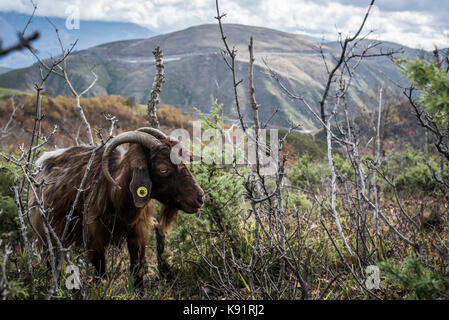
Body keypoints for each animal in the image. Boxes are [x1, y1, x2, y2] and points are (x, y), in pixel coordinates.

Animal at [31, 127, 205, 290]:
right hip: (48, 233)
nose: (200, 197)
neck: (115, 195)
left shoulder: (138, 234)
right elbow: (101, 273)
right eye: (163, 169)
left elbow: (137, 270)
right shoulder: (95, 241)